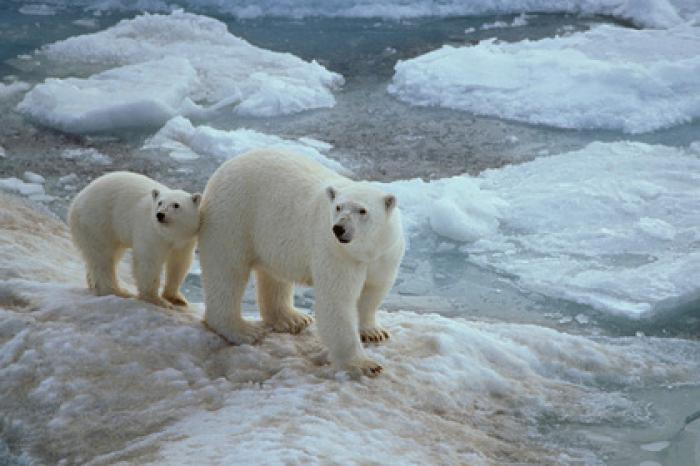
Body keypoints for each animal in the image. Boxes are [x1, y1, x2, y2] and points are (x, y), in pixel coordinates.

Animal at [198, 151, 404, 376]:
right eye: (338, 207)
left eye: (362, 210)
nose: (339, 228)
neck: (364, 250)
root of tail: (225, 167)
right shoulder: (335, 253)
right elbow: (337, 301)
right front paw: (364, 364)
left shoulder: (385, 253)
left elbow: (374, 290)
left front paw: (373, 332)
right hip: (233, 216)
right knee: (227, 271)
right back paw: (243, 330)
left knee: (273, 275)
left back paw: (291, 319)